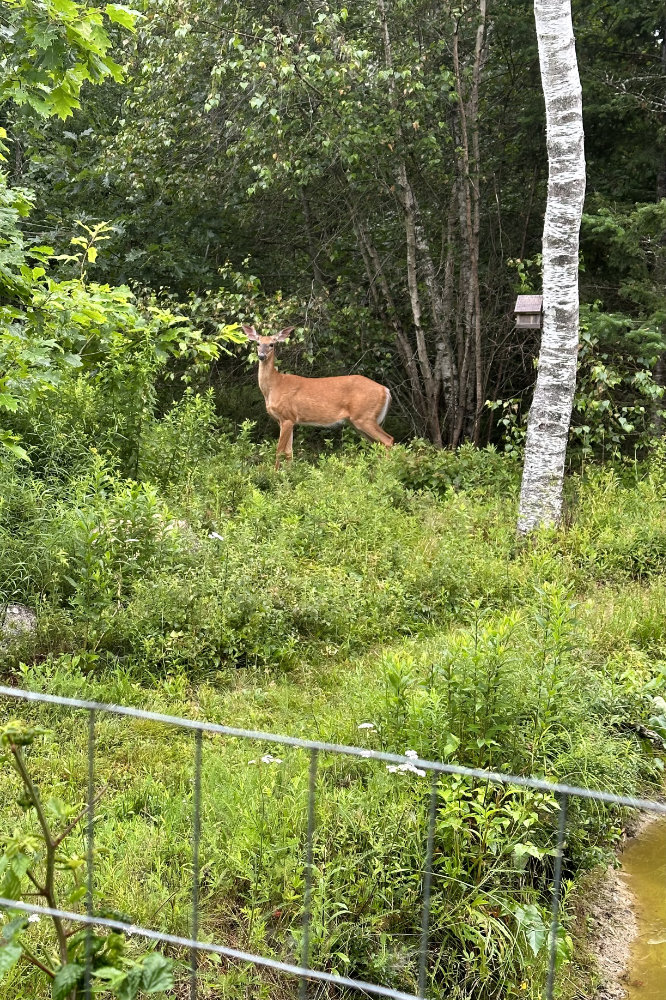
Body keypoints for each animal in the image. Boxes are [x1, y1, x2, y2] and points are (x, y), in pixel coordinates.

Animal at [241, 326, 392, 470]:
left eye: (272, 344)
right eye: (258, 343)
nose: (261, 356)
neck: (275, 385)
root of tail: (385, 390)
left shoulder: (287, 417)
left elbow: (279, 451)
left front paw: (275, 474)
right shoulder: (285, 420)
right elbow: (289, 453)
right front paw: (289, 475)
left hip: (365, 417)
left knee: (388, 440)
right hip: (358, 422)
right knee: (379, 445)